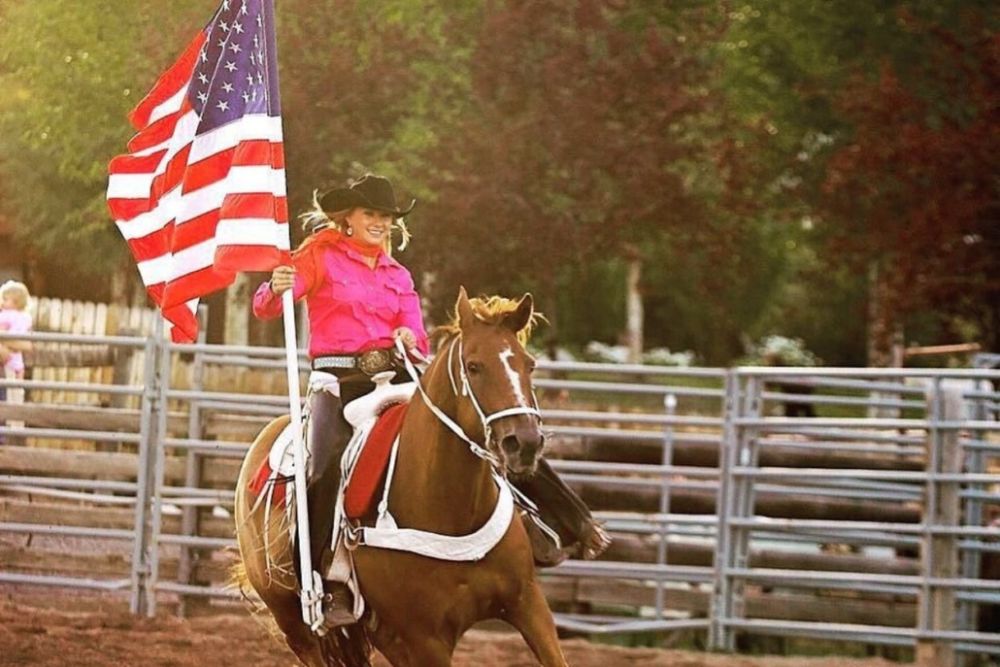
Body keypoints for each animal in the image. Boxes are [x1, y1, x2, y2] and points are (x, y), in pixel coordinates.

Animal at [230, 288, 568, 667]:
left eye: (530, 364)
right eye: (474, 366)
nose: (524, 442)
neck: (452, 510)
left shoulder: (528, 605)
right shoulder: (426, 640)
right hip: (295, 623)